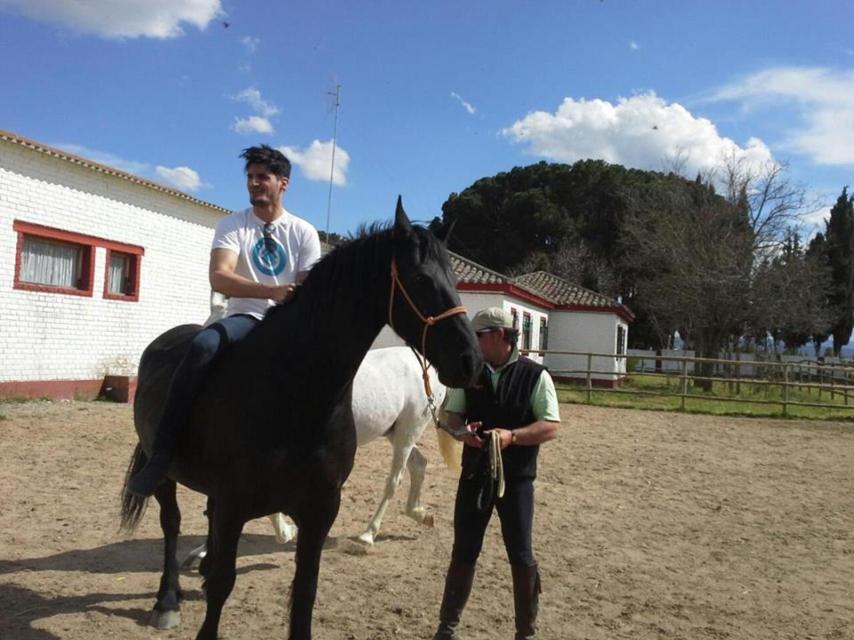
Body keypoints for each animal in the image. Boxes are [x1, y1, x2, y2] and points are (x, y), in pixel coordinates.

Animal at [119, 199, 482, 640]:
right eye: (419, 278)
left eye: (453, 280)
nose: (470, 361)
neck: (292, 391)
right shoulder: (235, 501)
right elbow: (224, 578)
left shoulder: (320, 507)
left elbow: (305, 589)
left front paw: (277, 536)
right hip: (168, 470)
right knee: (171, 522)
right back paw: (167, 599)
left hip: (406, 430)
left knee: (401, 473)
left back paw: (376, 530)